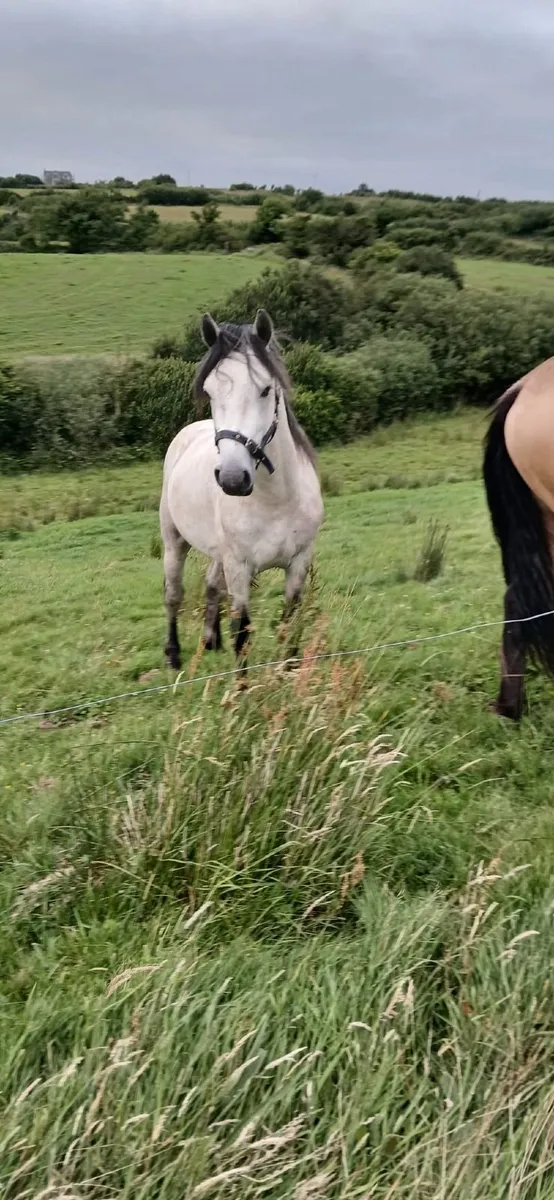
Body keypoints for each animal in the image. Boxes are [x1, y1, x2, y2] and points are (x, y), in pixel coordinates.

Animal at [159, 308, 324, 673]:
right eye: (210, 392)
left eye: (265, 389)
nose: (233, 479)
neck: (277, 501)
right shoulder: (239, 567)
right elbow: (242, 635)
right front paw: (242, 687)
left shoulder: (298, 563)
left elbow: (290, 622)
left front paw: (289, 674)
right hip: (173, 542)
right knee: (174, 595)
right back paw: (174, 656)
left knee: (210, 585)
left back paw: (210, 640)